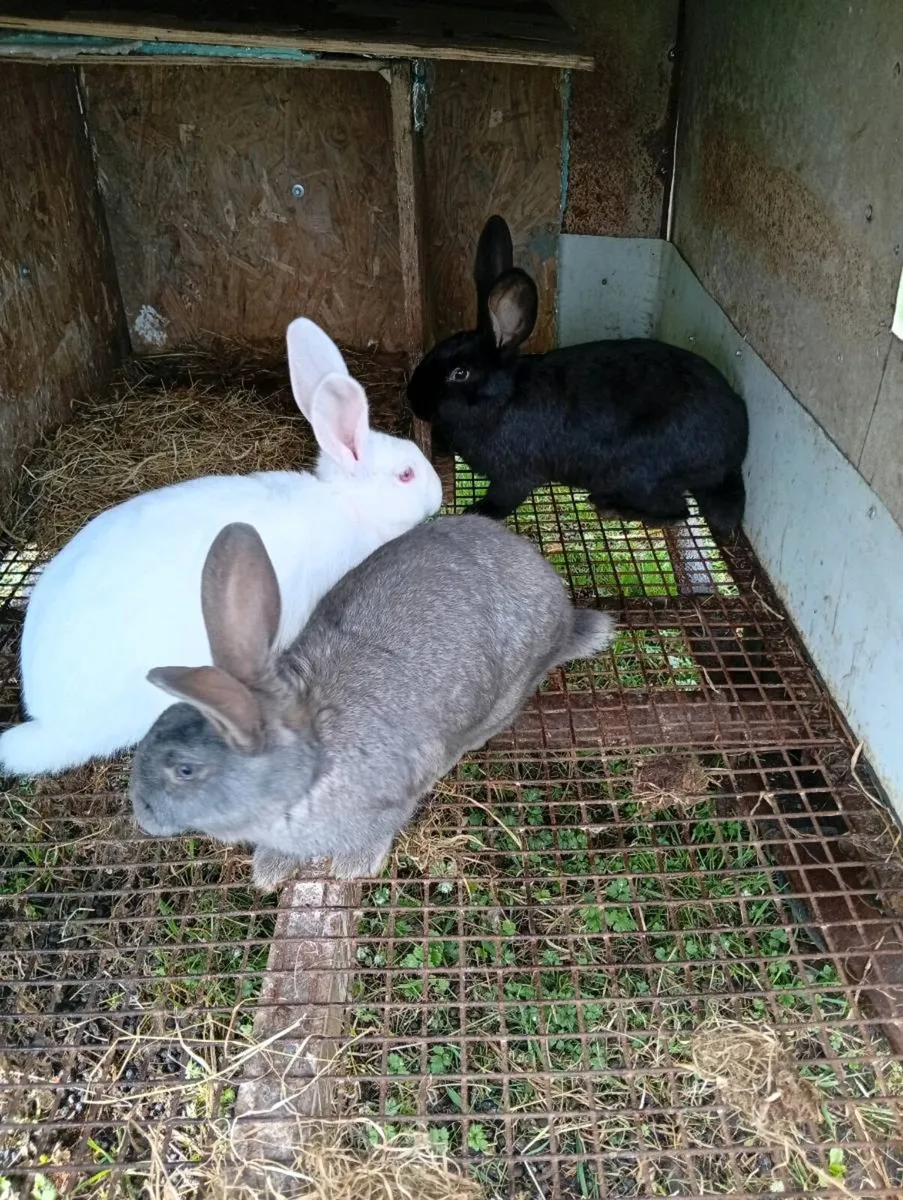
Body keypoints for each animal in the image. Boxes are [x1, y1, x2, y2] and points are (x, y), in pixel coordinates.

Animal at [128, 515, 616, 888]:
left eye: (185, 770)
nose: (143, 818)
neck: (309, 767)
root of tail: (565, 620)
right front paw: (270, 870)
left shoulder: (394, 796)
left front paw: (353, 866)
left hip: (508, 691)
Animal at [407, 214, 749, 534]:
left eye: (460, 373)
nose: (413, 401)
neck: (503, 399)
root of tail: (733, 454)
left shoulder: (514, 474)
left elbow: (504, 497)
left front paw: (478, 511)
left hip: (640, 470)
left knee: (676, 511)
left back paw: (611, 507)